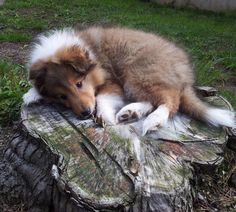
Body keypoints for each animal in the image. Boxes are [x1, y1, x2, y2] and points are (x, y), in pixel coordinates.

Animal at [22, 26, 236, 134]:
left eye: (79, 83)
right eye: (62, 97)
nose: (85, 113)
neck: (92, 53)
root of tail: (185, 74)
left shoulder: (112, 81)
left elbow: (102, 98)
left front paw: (104, 116)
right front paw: (31, 95)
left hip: (138, 73)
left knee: (171, 100)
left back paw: (154, 120)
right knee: (152, 100)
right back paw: (130, 112)